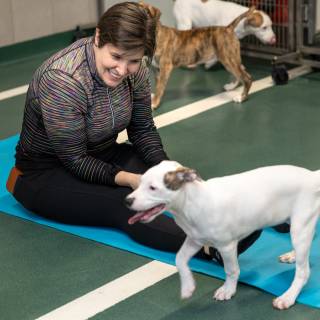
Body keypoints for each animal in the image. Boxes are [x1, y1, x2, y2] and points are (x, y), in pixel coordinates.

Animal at [126, 161, 320, 308]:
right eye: (140, 182)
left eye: (153, 188)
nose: (127, 200)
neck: (191, 202)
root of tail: (311, 176)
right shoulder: (195, 240)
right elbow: (179, 259)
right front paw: (188, 287)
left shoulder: (227, 246)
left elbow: (231, 270)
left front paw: (228, 290)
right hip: (293, 223)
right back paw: (292, 256)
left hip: (299, 228)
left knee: (303, 272)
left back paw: (288, 297)